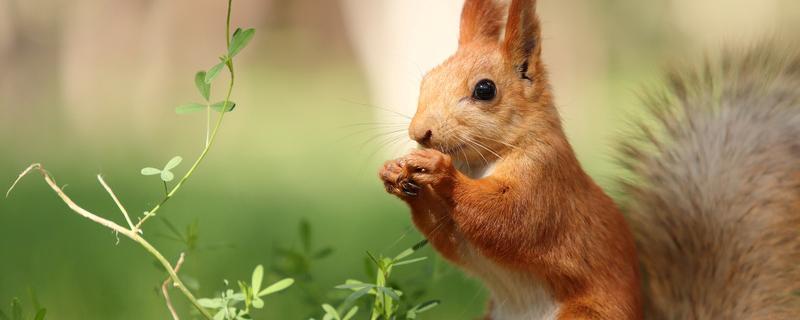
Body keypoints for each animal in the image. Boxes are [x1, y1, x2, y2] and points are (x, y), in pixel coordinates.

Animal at [376, 0, 800, 318]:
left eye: (485, 89)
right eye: (426, 80)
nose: (420, 132)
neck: (482, 163)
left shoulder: (547, 181)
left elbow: (510, 219)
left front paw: (440, 172)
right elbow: (450, 238)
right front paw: (396, 173)